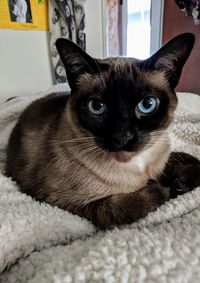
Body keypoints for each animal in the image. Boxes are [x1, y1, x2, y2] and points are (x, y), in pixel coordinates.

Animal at [5, 32, 200, 230]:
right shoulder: (69, 203)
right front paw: (168, 187)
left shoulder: (164, 156)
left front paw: (181, 182)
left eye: (147, 105)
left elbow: (188, 157)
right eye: (97, 107)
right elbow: (139, 203)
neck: (138, 167)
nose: (123, 137)